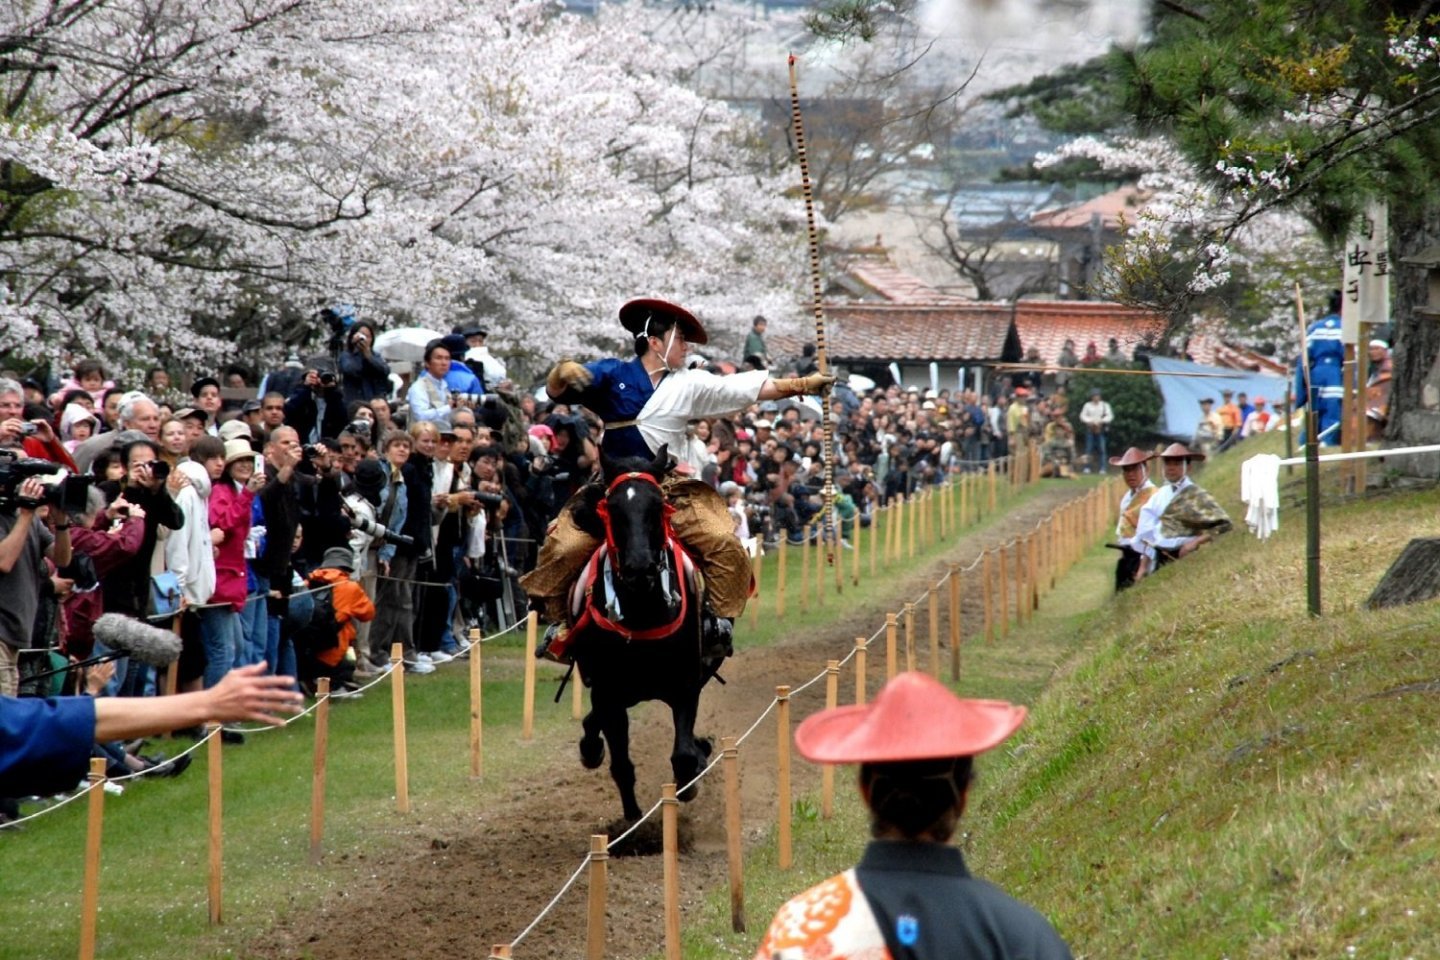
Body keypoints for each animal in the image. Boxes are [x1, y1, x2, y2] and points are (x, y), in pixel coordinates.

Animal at [561, 446, 720, 823]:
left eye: (658, 505)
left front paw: (690, 779)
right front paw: (634, 821)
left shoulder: (684, 684)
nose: (639, 567)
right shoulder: (608, 693)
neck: (642, 611)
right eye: (613, 508)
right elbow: (621, 764)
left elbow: (683, 755)